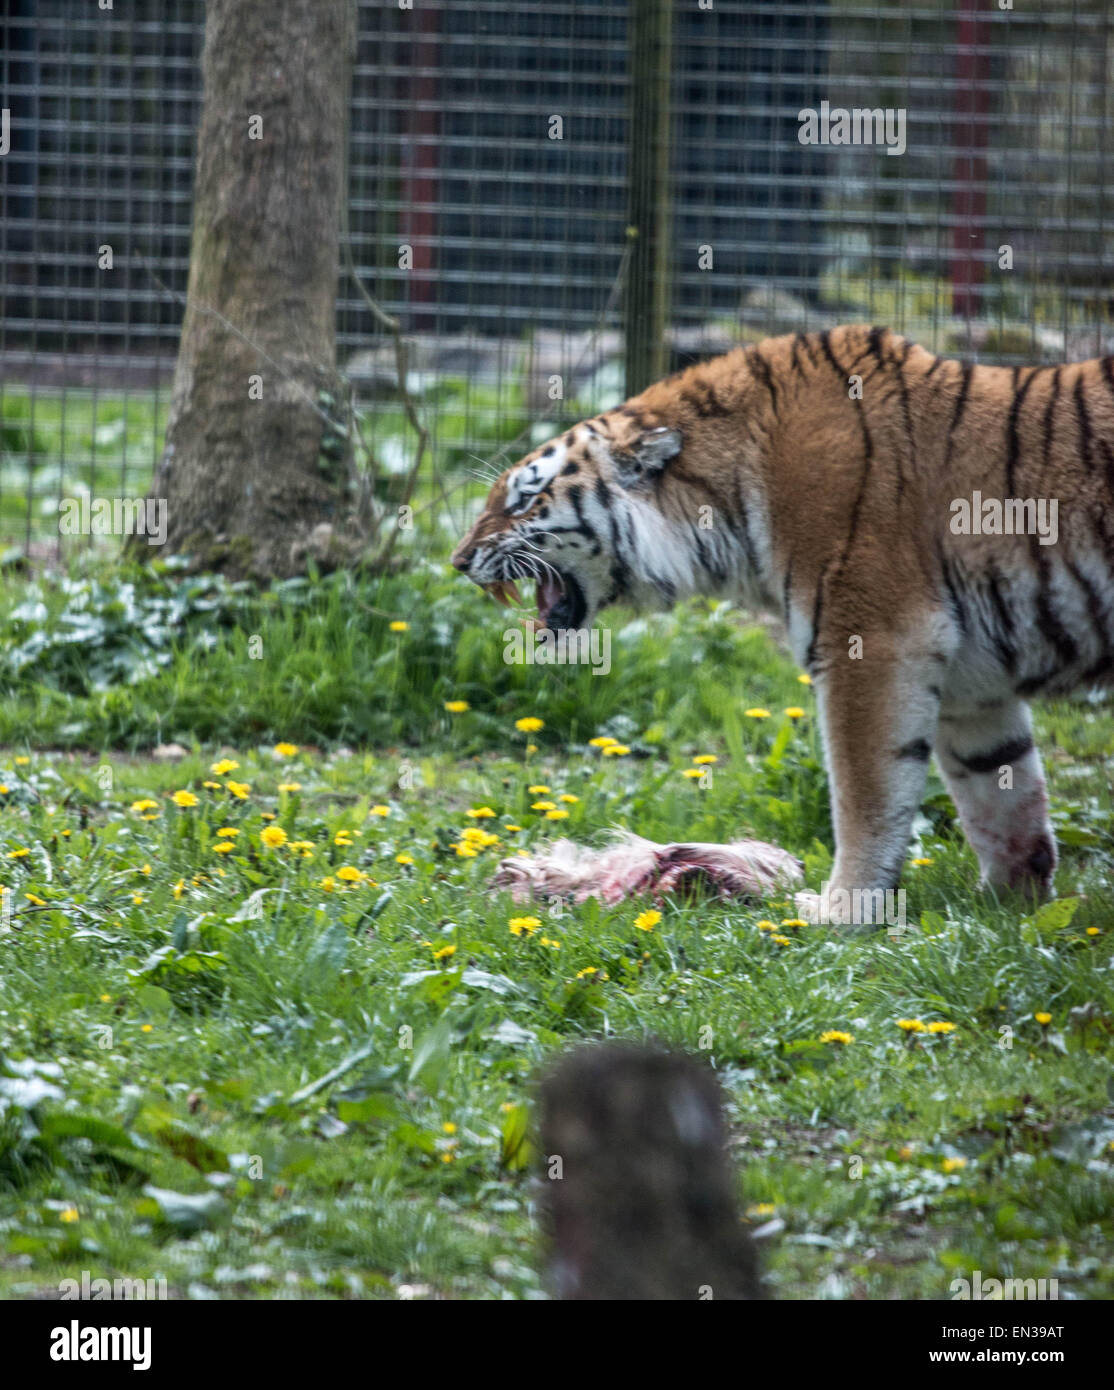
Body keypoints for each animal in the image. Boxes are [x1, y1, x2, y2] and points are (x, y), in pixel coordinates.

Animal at [447, 328, 1112, 922]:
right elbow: (1000, 791)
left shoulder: (877, 638)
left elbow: (866, 794)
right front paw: (1005, 909)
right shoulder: (972, 682)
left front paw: (841, 912)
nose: (457, 560)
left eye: (521, 501)